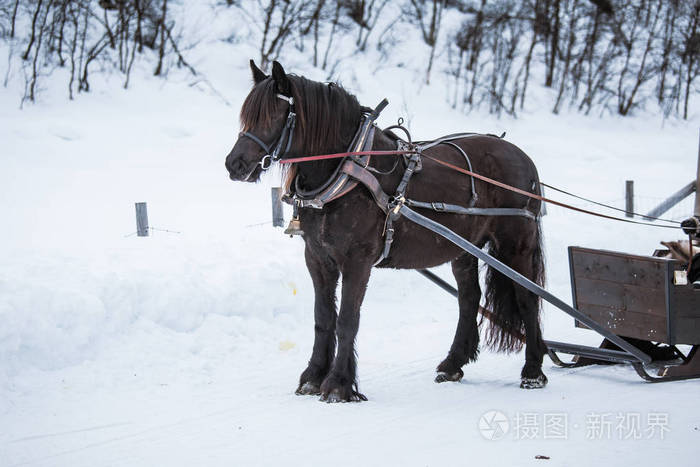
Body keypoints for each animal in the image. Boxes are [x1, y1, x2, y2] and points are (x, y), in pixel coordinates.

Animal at [224, 59, 548, 402]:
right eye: (247, 116)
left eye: (272, 116)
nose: (234, 164)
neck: (347, 169)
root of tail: (522, 157)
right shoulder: (318, 258)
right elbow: (323, 319)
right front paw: (313, 376)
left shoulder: (358, 260)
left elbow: (347, 320)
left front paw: (338, 384)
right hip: (463, 249)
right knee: (469, 298)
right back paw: (453, 363)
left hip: (516, 244)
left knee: (528, 298)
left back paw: (533, 371)